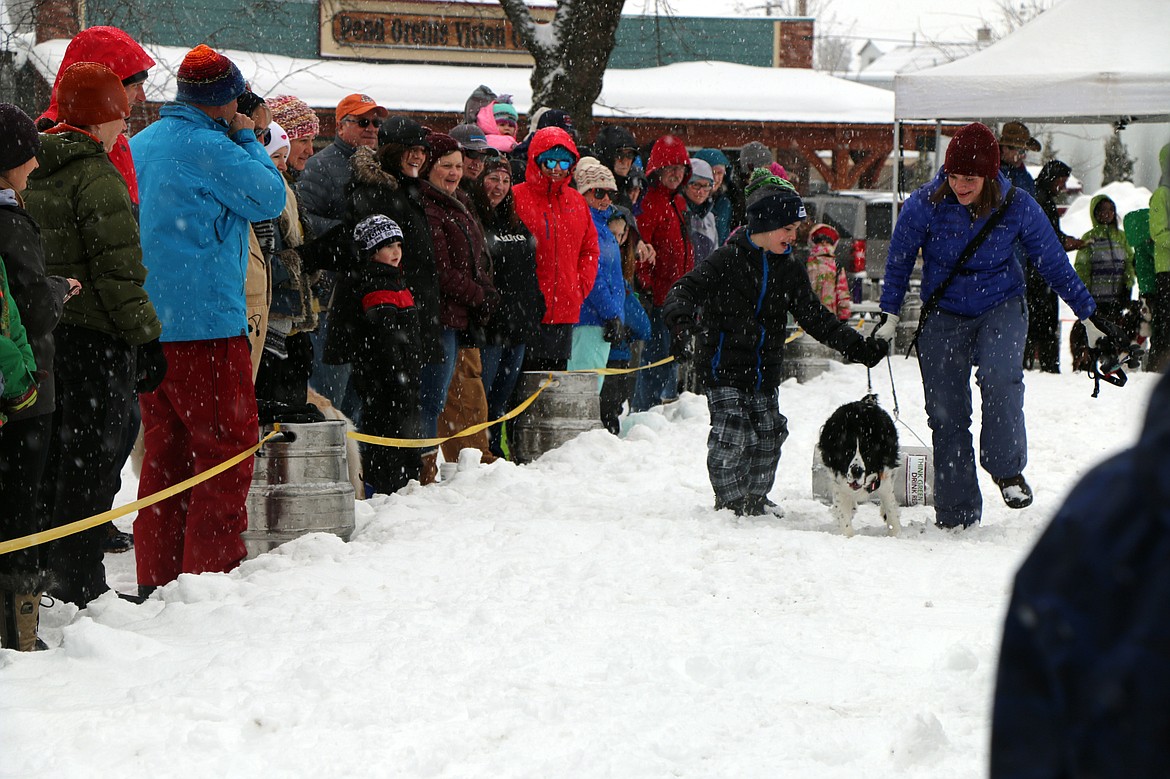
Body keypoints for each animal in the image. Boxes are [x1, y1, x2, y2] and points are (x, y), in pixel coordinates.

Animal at [819, 395, 898, 533]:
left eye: (867, 454)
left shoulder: (885, 477)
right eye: (847, 452)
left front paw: (895, 532)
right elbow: (843, 516)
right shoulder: (839, 484)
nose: (856, 471)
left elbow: (891, 509)